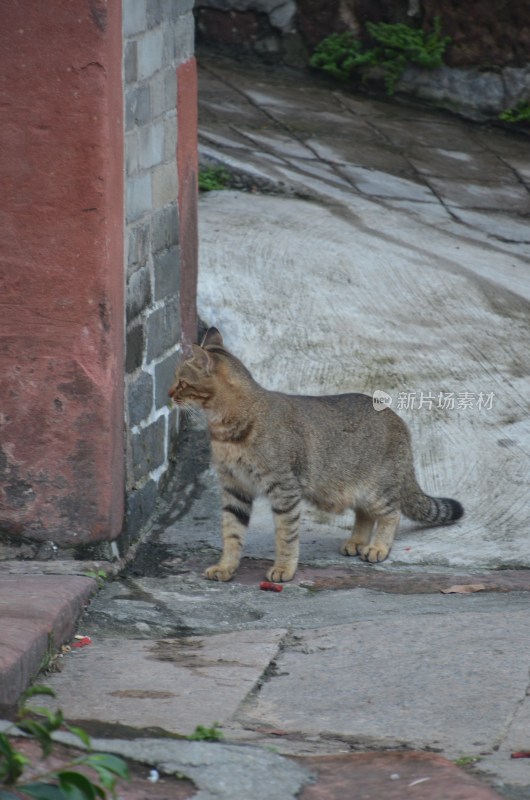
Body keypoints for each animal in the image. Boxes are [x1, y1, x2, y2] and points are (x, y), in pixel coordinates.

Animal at [168, 328, 462, 584]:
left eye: (181, 383)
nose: (169, 394)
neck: (225, 430)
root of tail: (399, 420)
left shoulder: (284, 489)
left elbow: (286, 535)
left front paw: (284, 568)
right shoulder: (235, 488)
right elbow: (231, 533)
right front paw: (226, 566)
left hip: (377, 489)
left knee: (392, 513)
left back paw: (378, 547)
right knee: (365, 514)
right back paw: (357, 542)